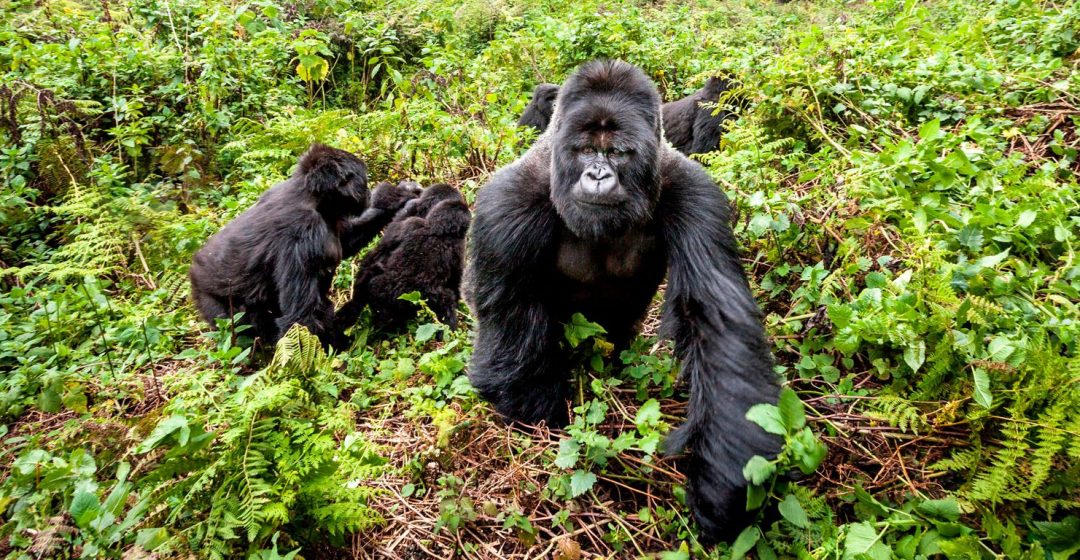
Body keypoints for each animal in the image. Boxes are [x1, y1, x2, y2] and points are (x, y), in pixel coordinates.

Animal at [190, 143, 416, 349]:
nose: (369, 193)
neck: (311, 197)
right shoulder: (303, 233)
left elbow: (346, 242)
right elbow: (300, 318)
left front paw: (397, 199)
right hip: (212, 302)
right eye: (364, 180)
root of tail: (193, 267)